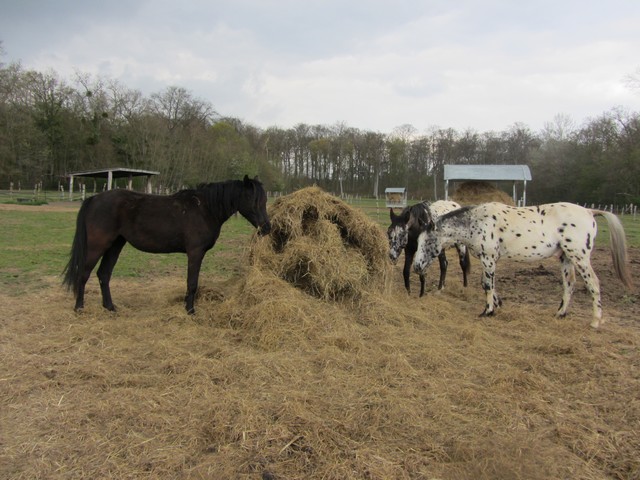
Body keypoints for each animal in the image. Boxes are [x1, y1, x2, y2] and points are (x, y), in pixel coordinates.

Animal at [63, 175, 271, 314]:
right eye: (252, 199)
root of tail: (94, 199)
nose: (266, 228)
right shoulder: (195, 252)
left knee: (104, 274)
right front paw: (190, 310)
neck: (204, 209)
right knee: (84, 274)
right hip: (98, 245)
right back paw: (79, 307)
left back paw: (110, 307)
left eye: (264, 199)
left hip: (115, 245)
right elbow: (192, 282)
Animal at [413, 202, 632, 328]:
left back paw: (595, 321)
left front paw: (488, 311)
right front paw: (498, 305)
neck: (477, 222)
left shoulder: (488, 258)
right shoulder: (488, 259)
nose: (416, 266)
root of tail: (589, 211)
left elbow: (488, 285)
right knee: (569, 285)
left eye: (426, 241)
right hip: (566, 258)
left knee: (593, 284)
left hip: (579, 257)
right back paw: (560, 314)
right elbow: (488, 283)